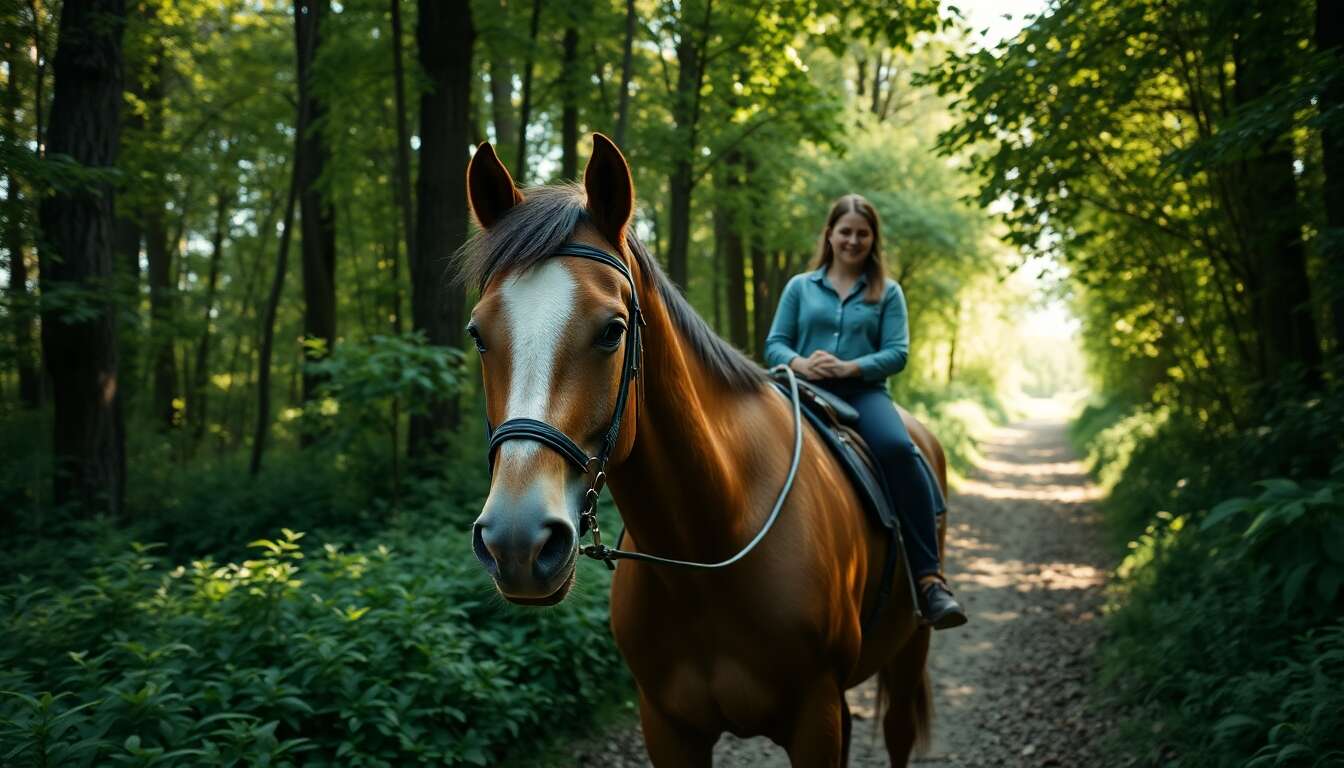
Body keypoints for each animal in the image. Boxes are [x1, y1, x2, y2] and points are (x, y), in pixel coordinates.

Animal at [461, 133, 949, 767]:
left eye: (613, 330)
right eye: (478, 334)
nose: (518, 542)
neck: (711, 542)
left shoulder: (813, 719)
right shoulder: (668, 726)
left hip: (911, 647)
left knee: (899, 731)